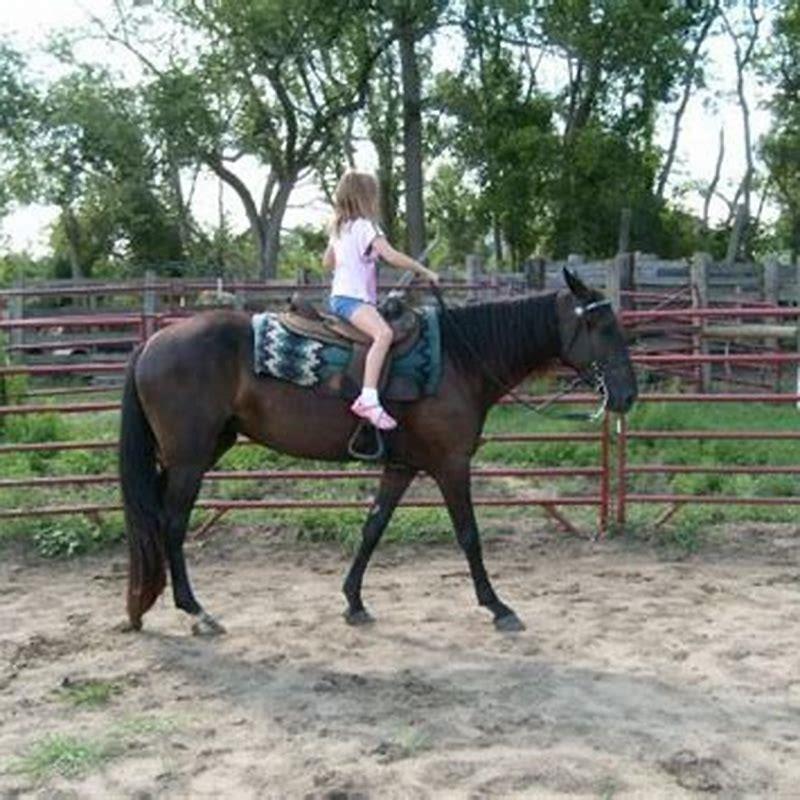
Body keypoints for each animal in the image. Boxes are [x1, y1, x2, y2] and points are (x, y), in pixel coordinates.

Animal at [119, 269, 637, 636]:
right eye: (599, 324)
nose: (629, 393)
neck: (462, 359)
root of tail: (153, 342)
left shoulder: (402, 467)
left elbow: (373, 528)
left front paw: (353, 601)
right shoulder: (451, 465)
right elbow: (469, 535)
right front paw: (497, 606)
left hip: (197, 451)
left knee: (153, 518)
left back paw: (143, 604)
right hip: (190, 459)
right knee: (171, 524)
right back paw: (195, 611)